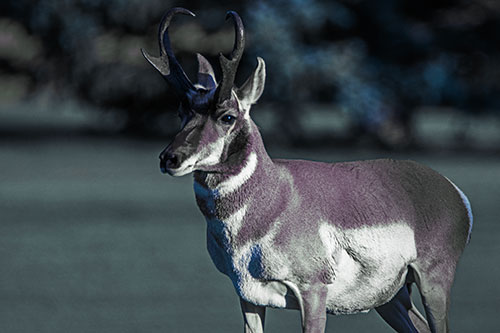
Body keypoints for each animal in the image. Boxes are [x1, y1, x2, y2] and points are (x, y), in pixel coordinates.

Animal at [142, 7, 472, 332]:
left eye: (227, 116)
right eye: (181, 112)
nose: (169, 158)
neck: (274, 199)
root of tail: (452, 190)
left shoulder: (313, 291)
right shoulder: (248, 296)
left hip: (432, 281)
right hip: (391, 298)